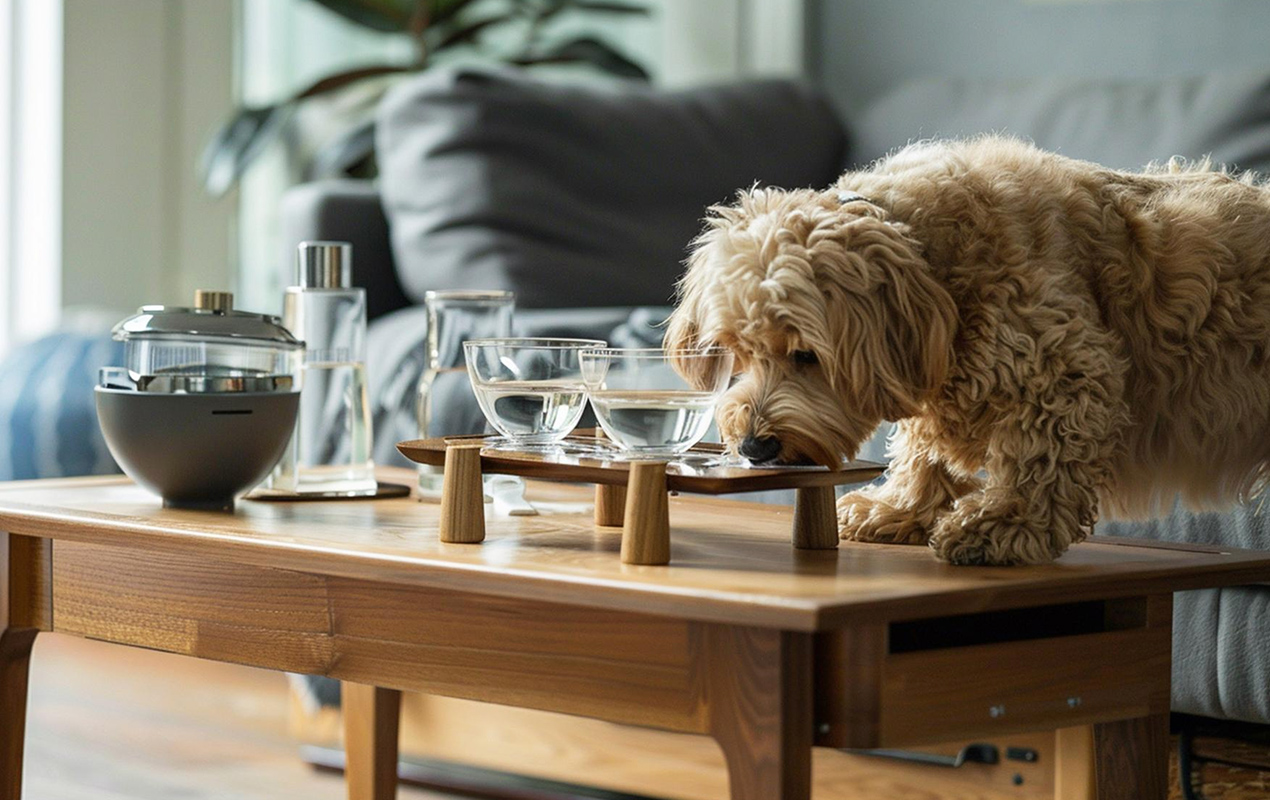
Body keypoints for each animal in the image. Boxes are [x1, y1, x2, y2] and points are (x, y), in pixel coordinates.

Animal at [665, 134, 1270, 566]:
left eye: (806, 355)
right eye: (736, 353)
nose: (754, 446)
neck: (934, 268)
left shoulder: (1067, 372)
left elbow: (1036, 459)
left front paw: (1001, 526)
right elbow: (924, 449)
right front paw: (901, 508)